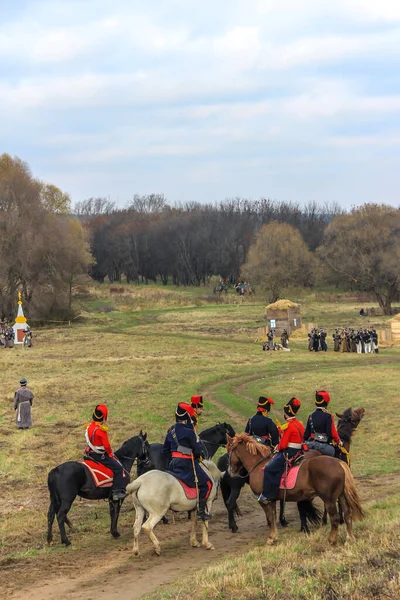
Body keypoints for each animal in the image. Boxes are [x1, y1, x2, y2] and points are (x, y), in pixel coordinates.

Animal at [227, 434, 364, 548]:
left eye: (229, 451)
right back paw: (349, 539)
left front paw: (271, 538)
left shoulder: (264, 500)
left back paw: (331, 540)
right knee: (347, 514)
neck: (259, 465)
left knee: (335, 518)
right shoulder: (272, 500)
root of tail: (339, 463)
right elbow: (273, 517)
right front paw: (274, 536)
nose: (230, 471)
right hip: (341, 496)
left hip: (329, 499)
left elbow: (270, 518)